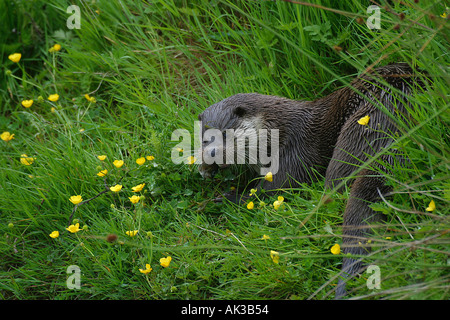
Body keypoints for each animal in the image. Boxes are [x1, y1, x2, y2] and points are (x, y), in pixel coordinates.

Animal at [198, 63, 426, 298]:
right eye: (205, 139)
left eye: (226, 134)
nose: (212, 153)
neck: (279, 129)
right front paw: (206, 170)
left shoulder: (298, 148)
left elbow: (278, 185)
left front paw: (228, 198)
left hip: (358, 128)